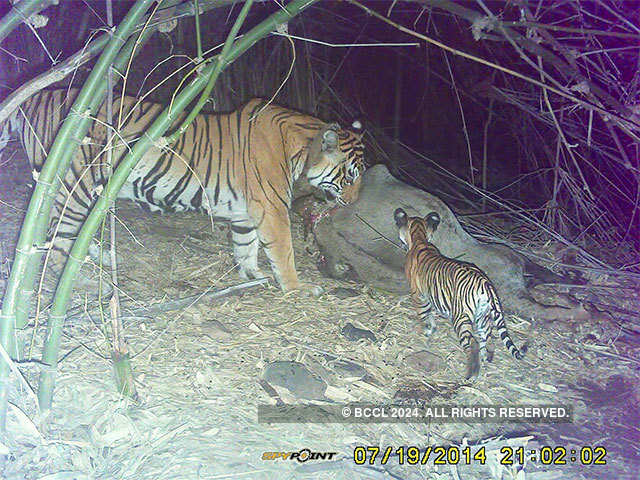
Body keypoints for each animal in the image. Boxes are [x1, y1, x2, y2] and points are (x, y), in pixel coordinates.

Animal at [0, 90, 364, 292]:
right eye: (350, 177)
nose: (354, 203)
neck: (301, 148)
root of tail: (36, 96)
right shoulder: (272, 208)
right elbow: (283, 252)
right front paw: (296, 288)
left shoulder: (247, 212)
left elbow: (245, 246)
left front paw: (252, 274)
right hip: (74, 184)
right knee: (58, 238)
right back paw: (80, 281)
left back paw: (98, 257)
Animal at [396, 209, 524, 378]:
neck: (419, 237)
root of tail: (486, 284)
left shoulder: (418, 295)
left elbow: (425, 316)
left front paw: (426, 332)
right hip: (482, 317)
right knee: (488, 339)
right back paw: (485, 360)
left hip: (460, 317)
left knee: (472, 344)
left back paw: (471, 373)